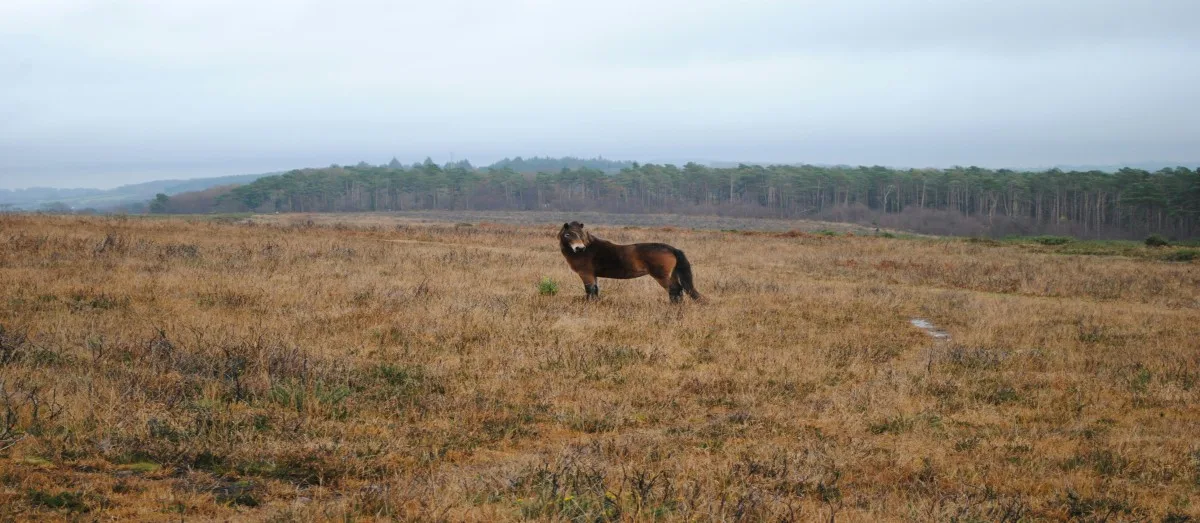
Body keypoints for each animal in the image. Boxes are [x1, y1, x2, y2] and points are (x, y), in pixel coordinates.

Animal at [558, 221, 703, 303]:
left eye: (580, 234)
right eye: (567, 234)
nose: (579, 248)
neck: (588, 249)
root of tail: (671, 249)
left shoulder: (586, 274)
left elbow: (590, 291)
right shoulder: (593, 275)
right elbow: (595, 291)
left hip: (661, 276)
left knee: (674, 290)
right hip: (671, 275)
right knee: (678, 291)